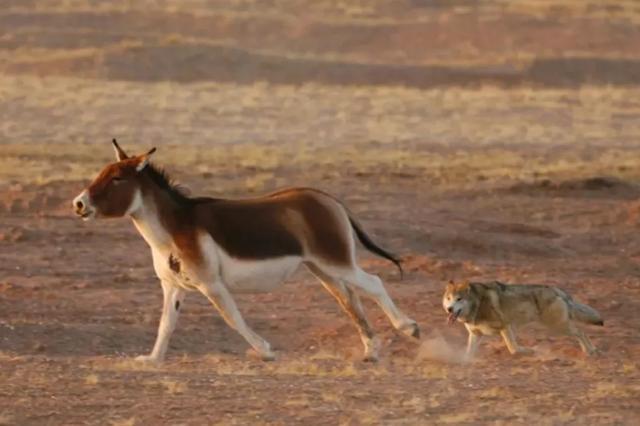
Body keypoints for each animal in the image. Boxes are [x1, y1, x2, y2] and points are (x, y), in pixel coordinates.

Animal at [442, 282, 604, 358]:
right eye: (449, 298)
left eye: (459, 299)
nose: (449, 309)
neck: (477, 303)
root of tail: (557, 289)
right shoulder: (476, 334)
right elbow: (468, 352)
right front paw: (465, 361)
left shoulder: (506, 326)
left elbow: (513, 349)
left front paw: (528, 351)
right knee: (581, 332)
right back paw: (591, 350)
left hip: (559, 326)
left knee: (581, 332)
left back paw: (590, 351)